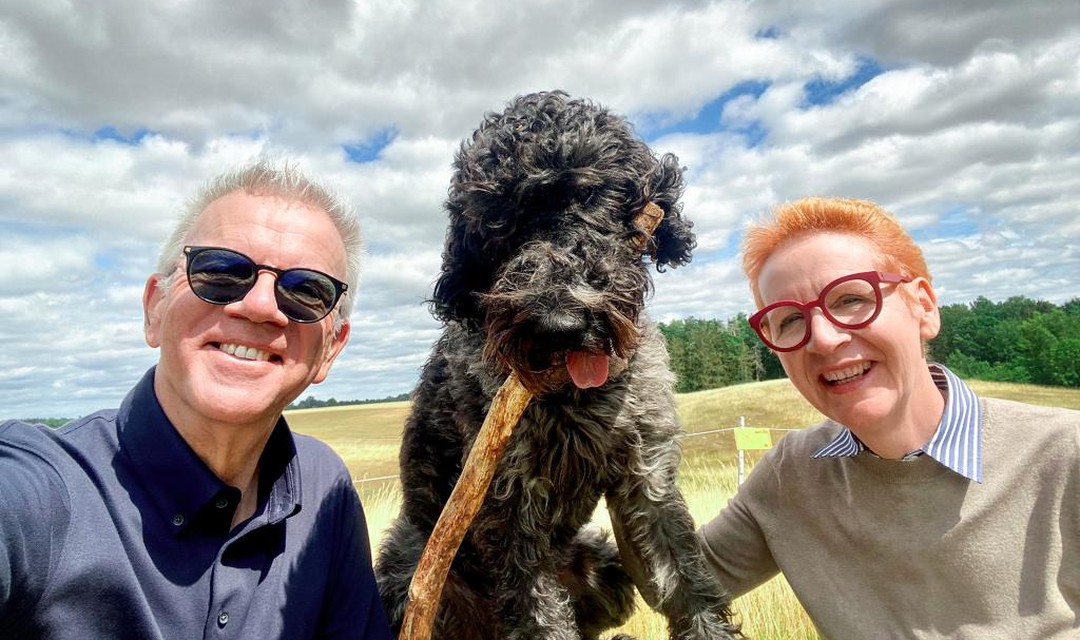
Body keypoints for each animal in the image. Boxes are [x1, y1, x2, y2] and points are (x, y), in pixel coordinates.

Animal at [373, 91, 743, 638]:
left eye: (592, 197)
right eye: (498, 222)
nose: (559, 324)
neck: (576, 396)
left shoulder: (646, 480)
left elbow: (684, 580)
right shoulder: (511, 507)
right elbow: (538, 615)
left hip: (604, 568)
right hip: (410, 571)